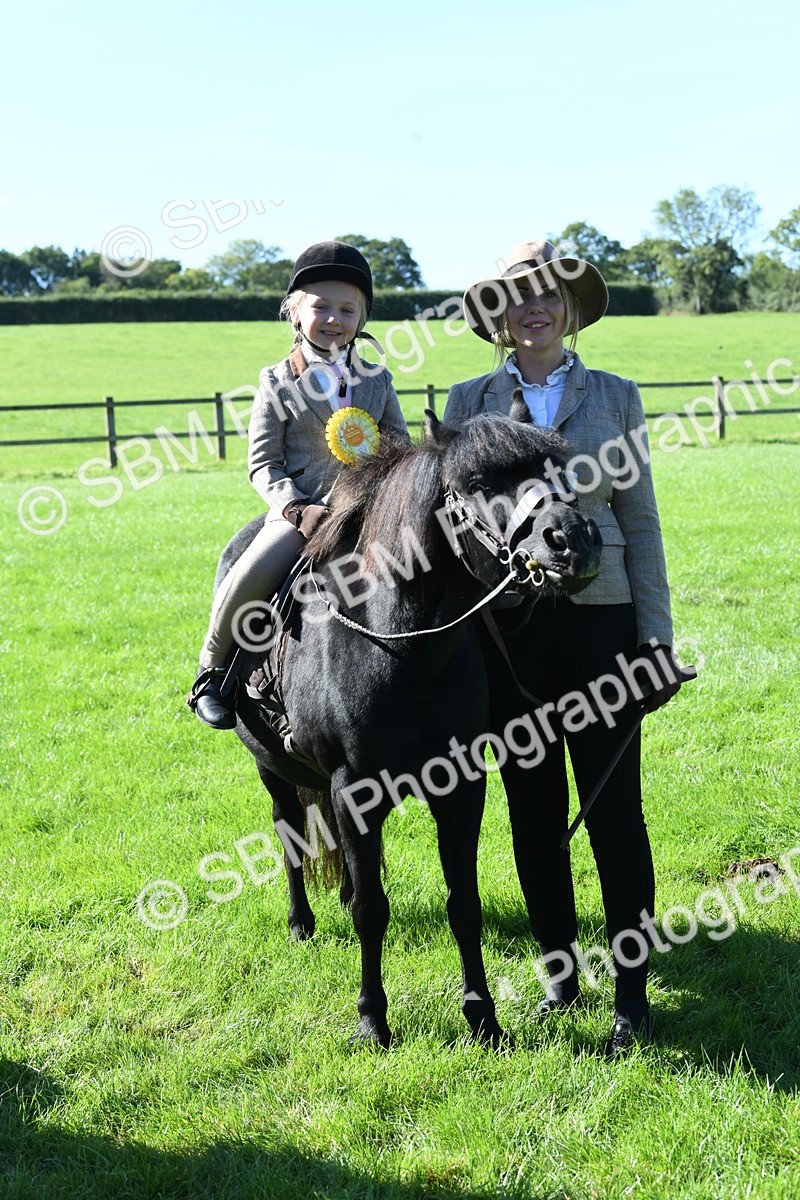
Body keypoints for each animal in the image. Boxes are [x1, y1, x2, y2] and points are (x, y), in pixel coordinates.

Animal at [216, 409, 602, 1048]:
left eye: (555, 470)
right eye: (478, 483)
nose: (575, 540)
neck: (399, 645)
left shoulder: (462, 786)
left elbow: (463, 903)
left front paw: (483, 1017)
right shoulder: (353, 790)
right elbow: (372, 912)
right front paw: (373, 1020)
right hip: (270, 767)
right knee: (289, 831)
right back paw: (301, 921)